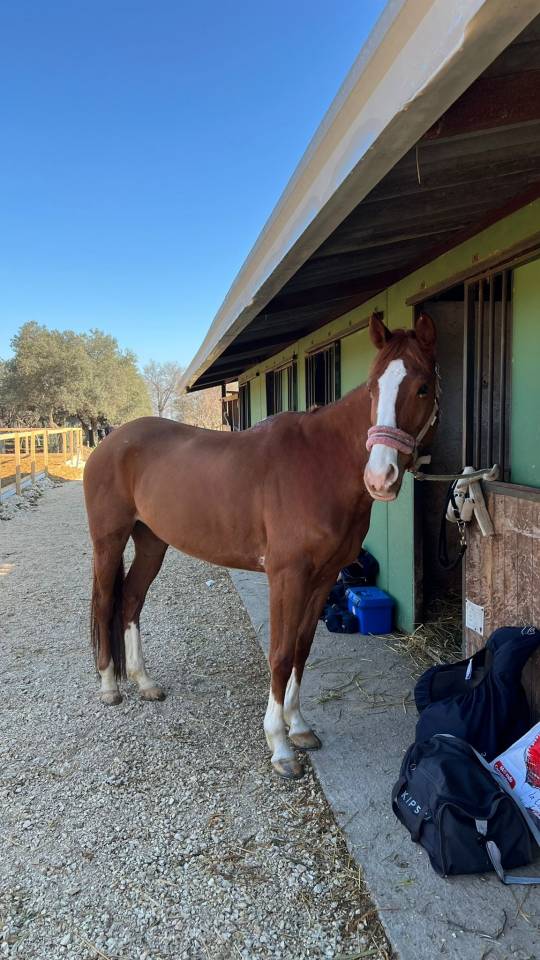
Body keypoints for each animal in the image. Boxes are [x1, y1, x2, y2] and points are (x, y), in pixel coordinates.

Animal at [83, 312, 438, 780]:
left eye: (423, 387)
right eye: (373, 388)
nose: (380, 478)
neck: (320, 464)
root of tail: (107, 441)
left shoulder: (323, 578)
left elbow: (302, 650)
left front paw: (299, 726)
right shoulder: (286, 577)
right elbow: (281, 654)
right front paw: (280, 745)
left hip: (152, 543)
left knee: (131, 602)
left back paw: (145, 683)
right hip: (109, 542)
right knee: (107, 602)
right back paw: (109, 687)